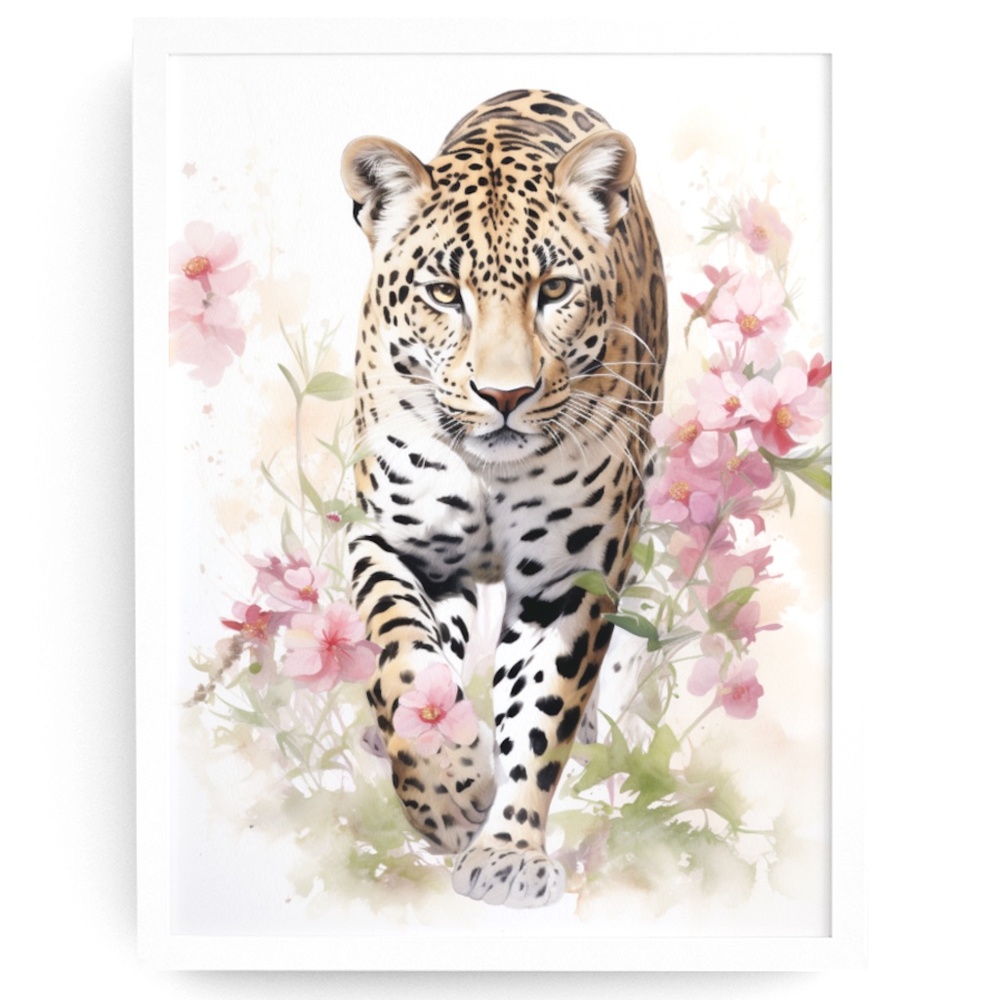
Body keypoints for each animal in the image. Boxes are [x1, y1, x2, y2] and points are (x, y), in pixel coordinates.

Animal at [340, 89, 667, 908]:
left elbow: (541, 712)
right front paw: (449, 793)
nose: (507, 396)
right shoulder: (389, 543)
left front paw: (509, 849)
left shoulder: (570, 578)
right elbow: (404, 660)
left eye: (553, 291)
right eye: (443, 293)